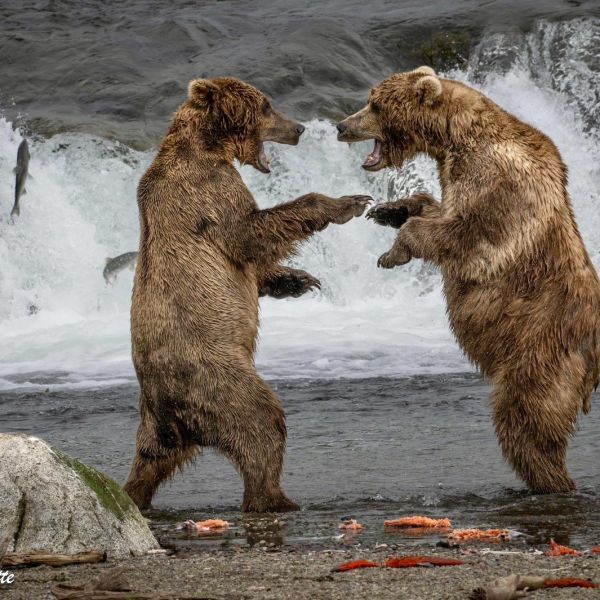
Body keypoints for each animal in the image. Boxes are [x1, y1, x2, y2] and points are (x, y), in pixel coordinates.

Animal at [125, 76, 370, 510]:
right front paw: (348, 201)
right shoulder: (209, 194)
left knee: (148, 462)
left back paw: (133, 496)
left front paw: (296, 280)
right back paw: (276, 498)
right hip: (214, 377)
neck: (207, 147)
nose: (299, 128)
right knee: (261, 422)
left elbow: (255, 263)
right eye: (267, 106)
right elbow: (248, 233)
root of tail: (167, 407)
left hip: (155, 426)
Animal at [338, 68, 600, 494]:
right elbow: (435, 208)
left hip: (539, 350)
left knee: (526, 418)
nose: (342, 126)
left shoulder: (497, 184)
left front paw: (392, 252)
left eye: (374, 105)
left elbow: (469, 235)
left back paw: (547, 477)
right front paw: (390, 210)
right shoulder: (455, 179)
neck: (453, 139)